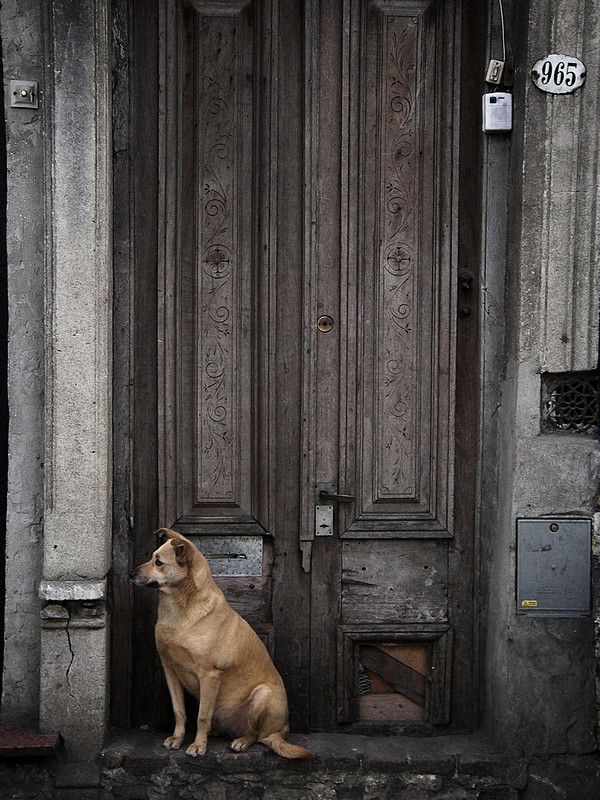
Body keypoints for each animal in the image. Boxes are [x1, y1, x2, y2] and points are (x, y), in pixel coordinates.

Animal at [129, 528, 312, 760]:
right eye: (153, 558)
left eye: (159, 562)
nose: (130, 574)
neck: (181, 609)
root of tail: (283, 730)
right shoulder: (170, 669)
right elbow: (179, 711)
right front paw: (177, 739)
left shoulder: (209, 675)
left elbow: (202, 716)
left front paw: (198, 746)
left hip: (263, 695)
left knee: (258, 735)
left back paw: (241, 741)